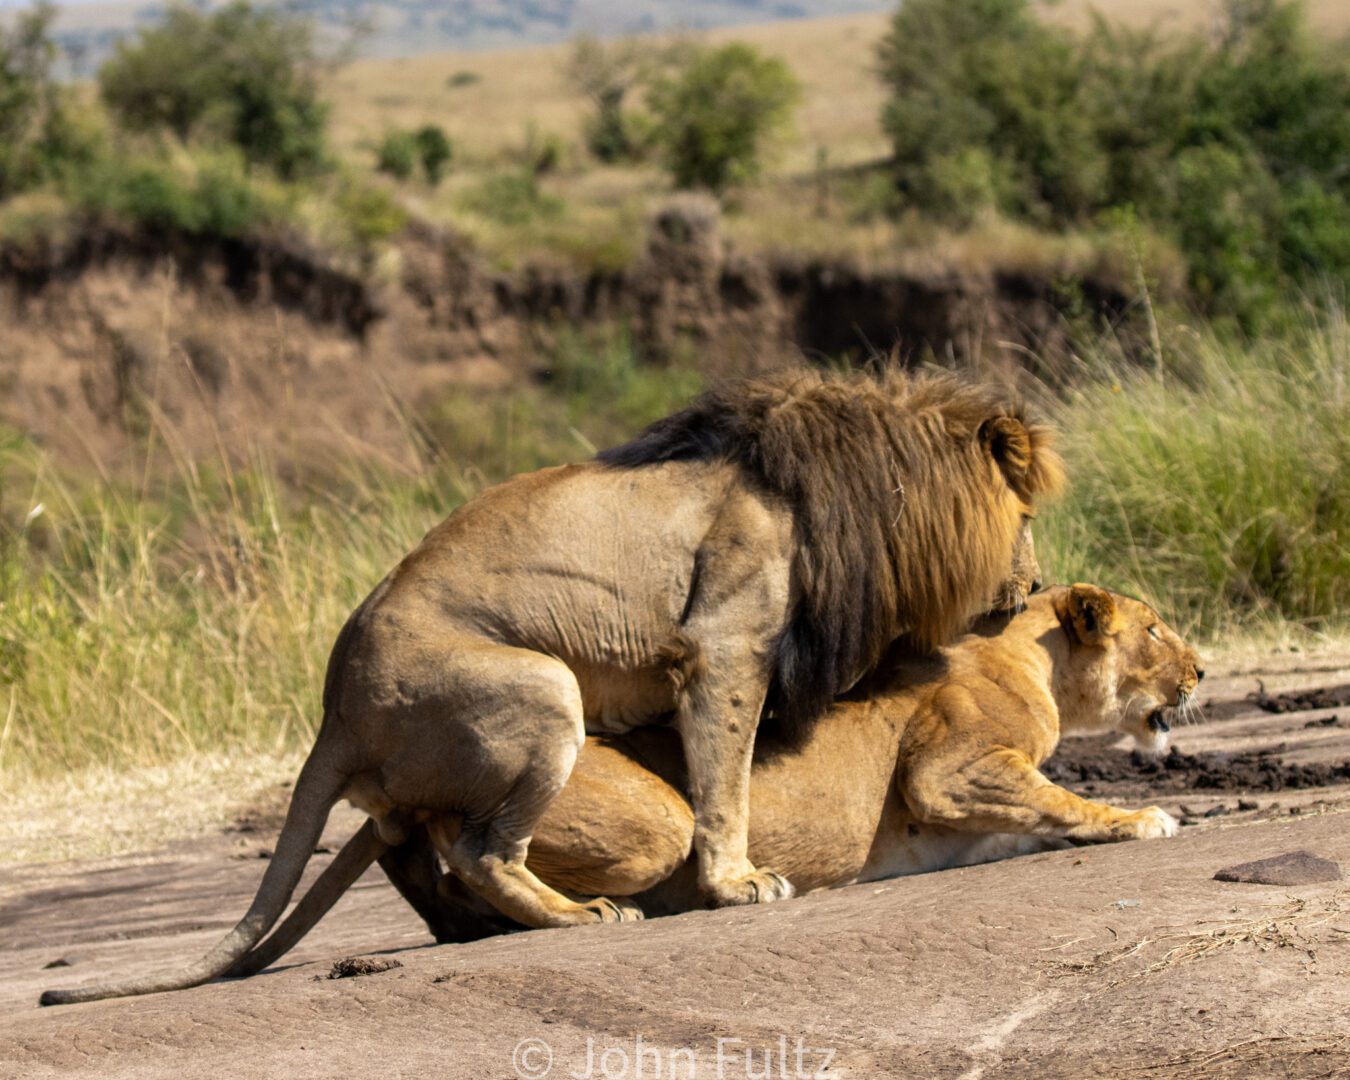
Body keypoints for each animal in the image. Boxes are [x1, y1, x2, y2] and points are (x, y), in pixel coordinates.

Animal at [42, 369, 1063, 1004]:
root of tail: (334, 712)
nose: (1039, 584)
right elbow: (724, 780)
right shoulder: (726, 644)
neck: (856, 497)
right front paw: (737, 883)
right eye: (1024, 518)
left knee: (421, 841)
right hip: (540, 689)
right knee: (480, 848)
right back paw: (578, 916)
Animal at [199, 585, 1204, 972]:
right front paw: (1146, 819)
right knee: (465, 843)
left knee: (415, 850)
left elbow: (1042, 811)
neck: (1029, 655)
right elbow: (1062, 794)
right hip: (655, 821)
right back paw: (580, 913)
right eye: (1155, 627)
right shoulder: (949, 770)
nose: (1201, 672)